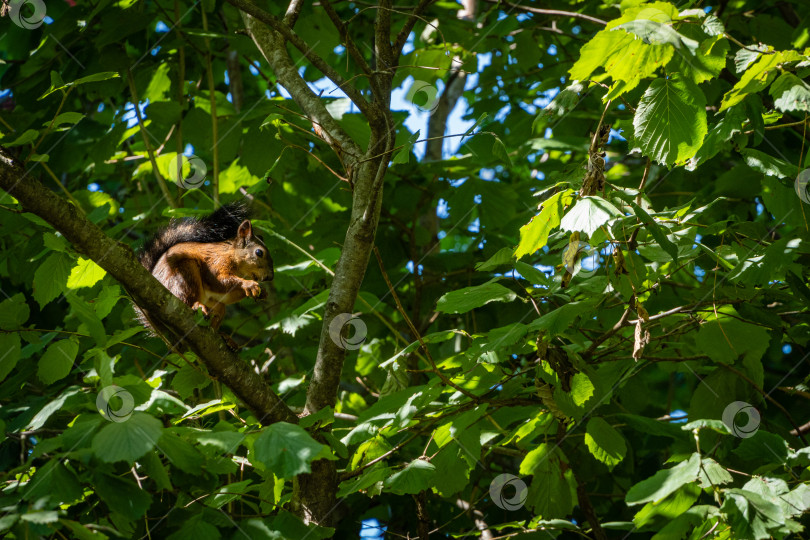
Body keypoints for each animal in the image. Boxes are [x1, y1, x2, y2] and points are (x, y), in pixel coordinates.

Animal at [133, 202, 272, 336]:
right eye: (259, 252)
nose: (269, 277)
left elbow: (227, 296)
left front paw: (263, 292)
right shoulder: (216, 262)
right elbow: (218, 281)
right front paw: (248, 284)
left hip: (214, 304)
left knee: (219, 310)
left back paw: (224, 336)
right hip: (184, 275)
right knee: (186, 299)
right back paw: (196, 305)